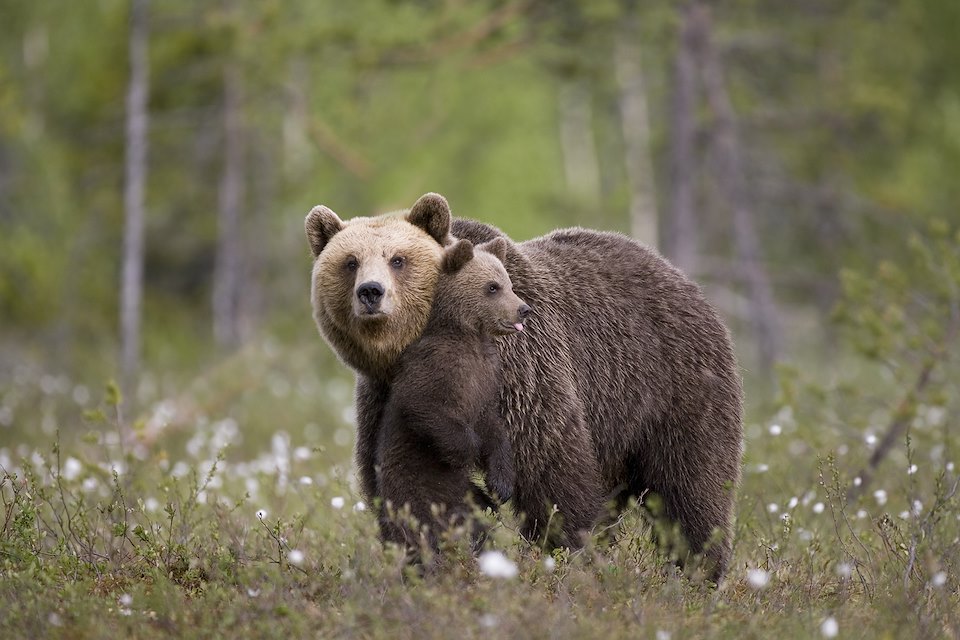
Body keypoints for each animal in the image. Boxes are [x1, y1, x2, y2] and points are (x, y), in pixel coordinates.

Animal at [306, 191, 744, 580]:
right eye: (349, 261)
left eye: (398, 259)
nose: (370, 292)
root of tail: (682, 277)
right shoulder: (390, 397)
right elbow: (413, 487)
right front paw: (434, 560)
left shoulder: (520, 372)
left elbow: (551, 472)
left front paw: (566, 555)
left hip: (673, 386)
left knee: (691, 487)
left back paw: (697, 571)